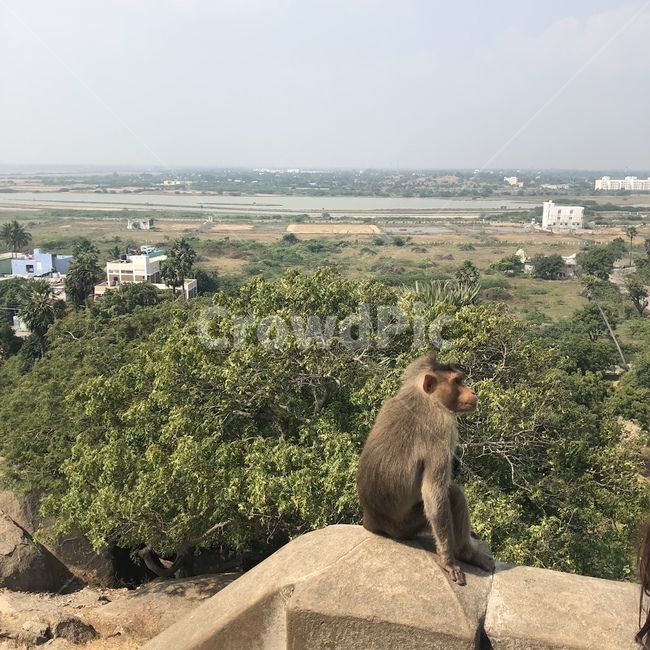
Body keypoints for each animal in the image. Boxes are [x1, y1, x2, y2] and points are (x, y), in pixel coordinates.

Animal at [356, 351, 494, 586]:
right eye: (458, 381)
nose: (473, 391)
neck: (426, 397)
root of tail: (372, 519)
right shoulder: (443, 426)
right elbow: (434, 492)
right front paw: (448, 560)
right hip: (404, 527)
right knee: (453, 495)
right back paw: (467, 553)